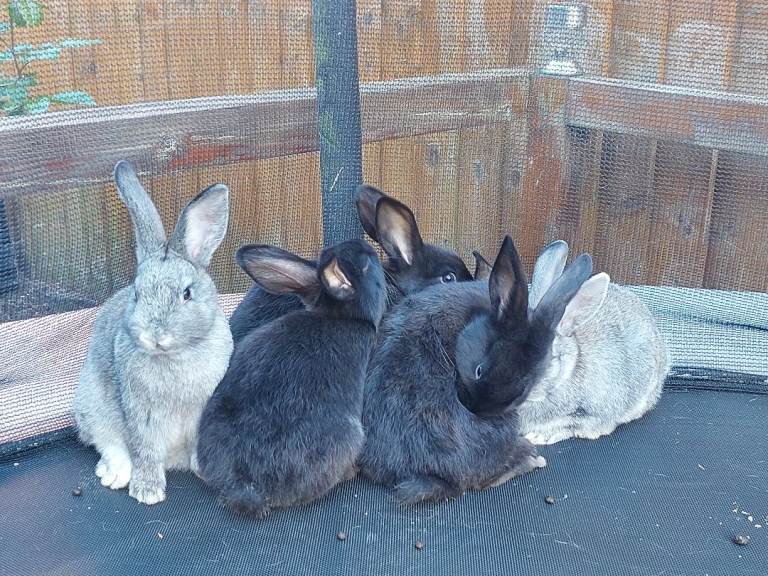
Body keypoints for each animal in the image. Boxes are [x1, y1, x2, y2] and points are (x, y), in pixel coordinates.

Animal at [73, 161, 233, 505]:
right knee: (107, 443)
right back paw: (115, 474)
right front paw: (147, 491)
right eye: (137, 293)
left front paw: (205, 470)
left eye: (187, 293)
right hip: (91, 404)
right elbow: (145, 450)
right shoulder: (142, 414)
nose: (155, 336)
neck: (176, 355)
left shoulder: (205, 408)